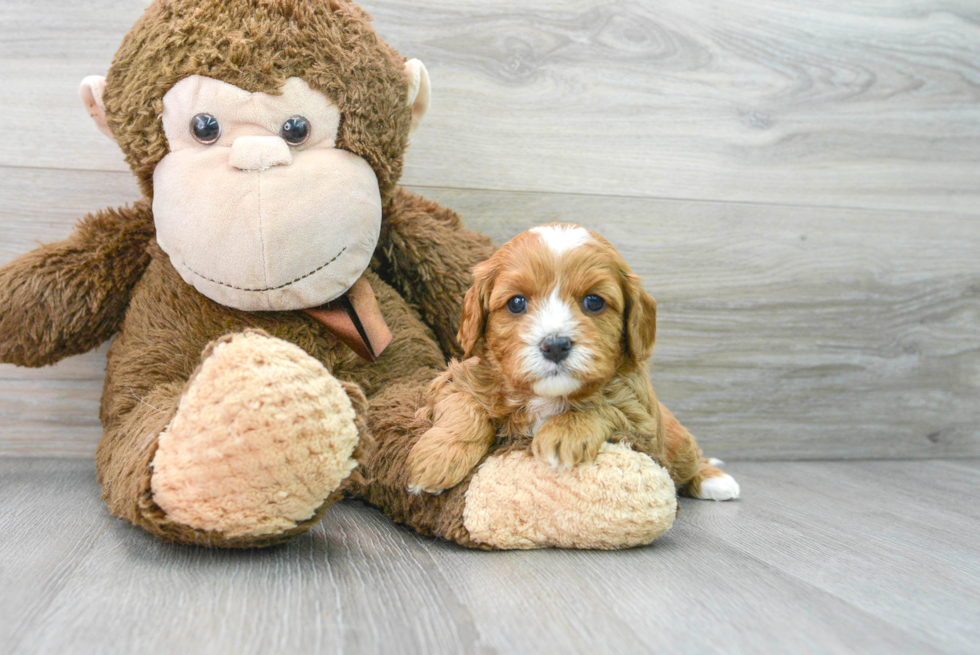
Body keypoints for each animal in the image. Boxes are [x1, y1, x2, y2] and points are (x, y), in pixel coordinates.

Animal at [404, 223, 736, 500]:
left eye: (594, 301)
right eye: (516, 303)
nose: (555, 346)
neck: (545, 397)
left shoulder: (642, 424)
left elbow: (605, 407)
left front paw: (563, 432)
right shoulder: (454, 380)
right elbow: (464, 407)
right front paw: (437, 458)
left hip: (677, 443)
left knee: (691, 460)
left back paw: (715, 479)